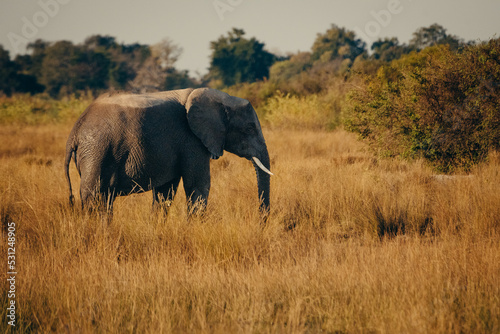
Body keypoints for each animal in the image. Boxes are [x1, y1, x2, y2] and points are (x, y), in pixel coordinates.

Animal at [65, 87, 274, 215]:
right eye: (249, 129)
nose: (260, 222)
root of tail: (75, 131)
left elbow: (164, 193)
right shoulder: (191, 140)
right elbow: (198, 186)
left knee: (104, 200)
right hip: (97, 151)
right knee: (95, 198)